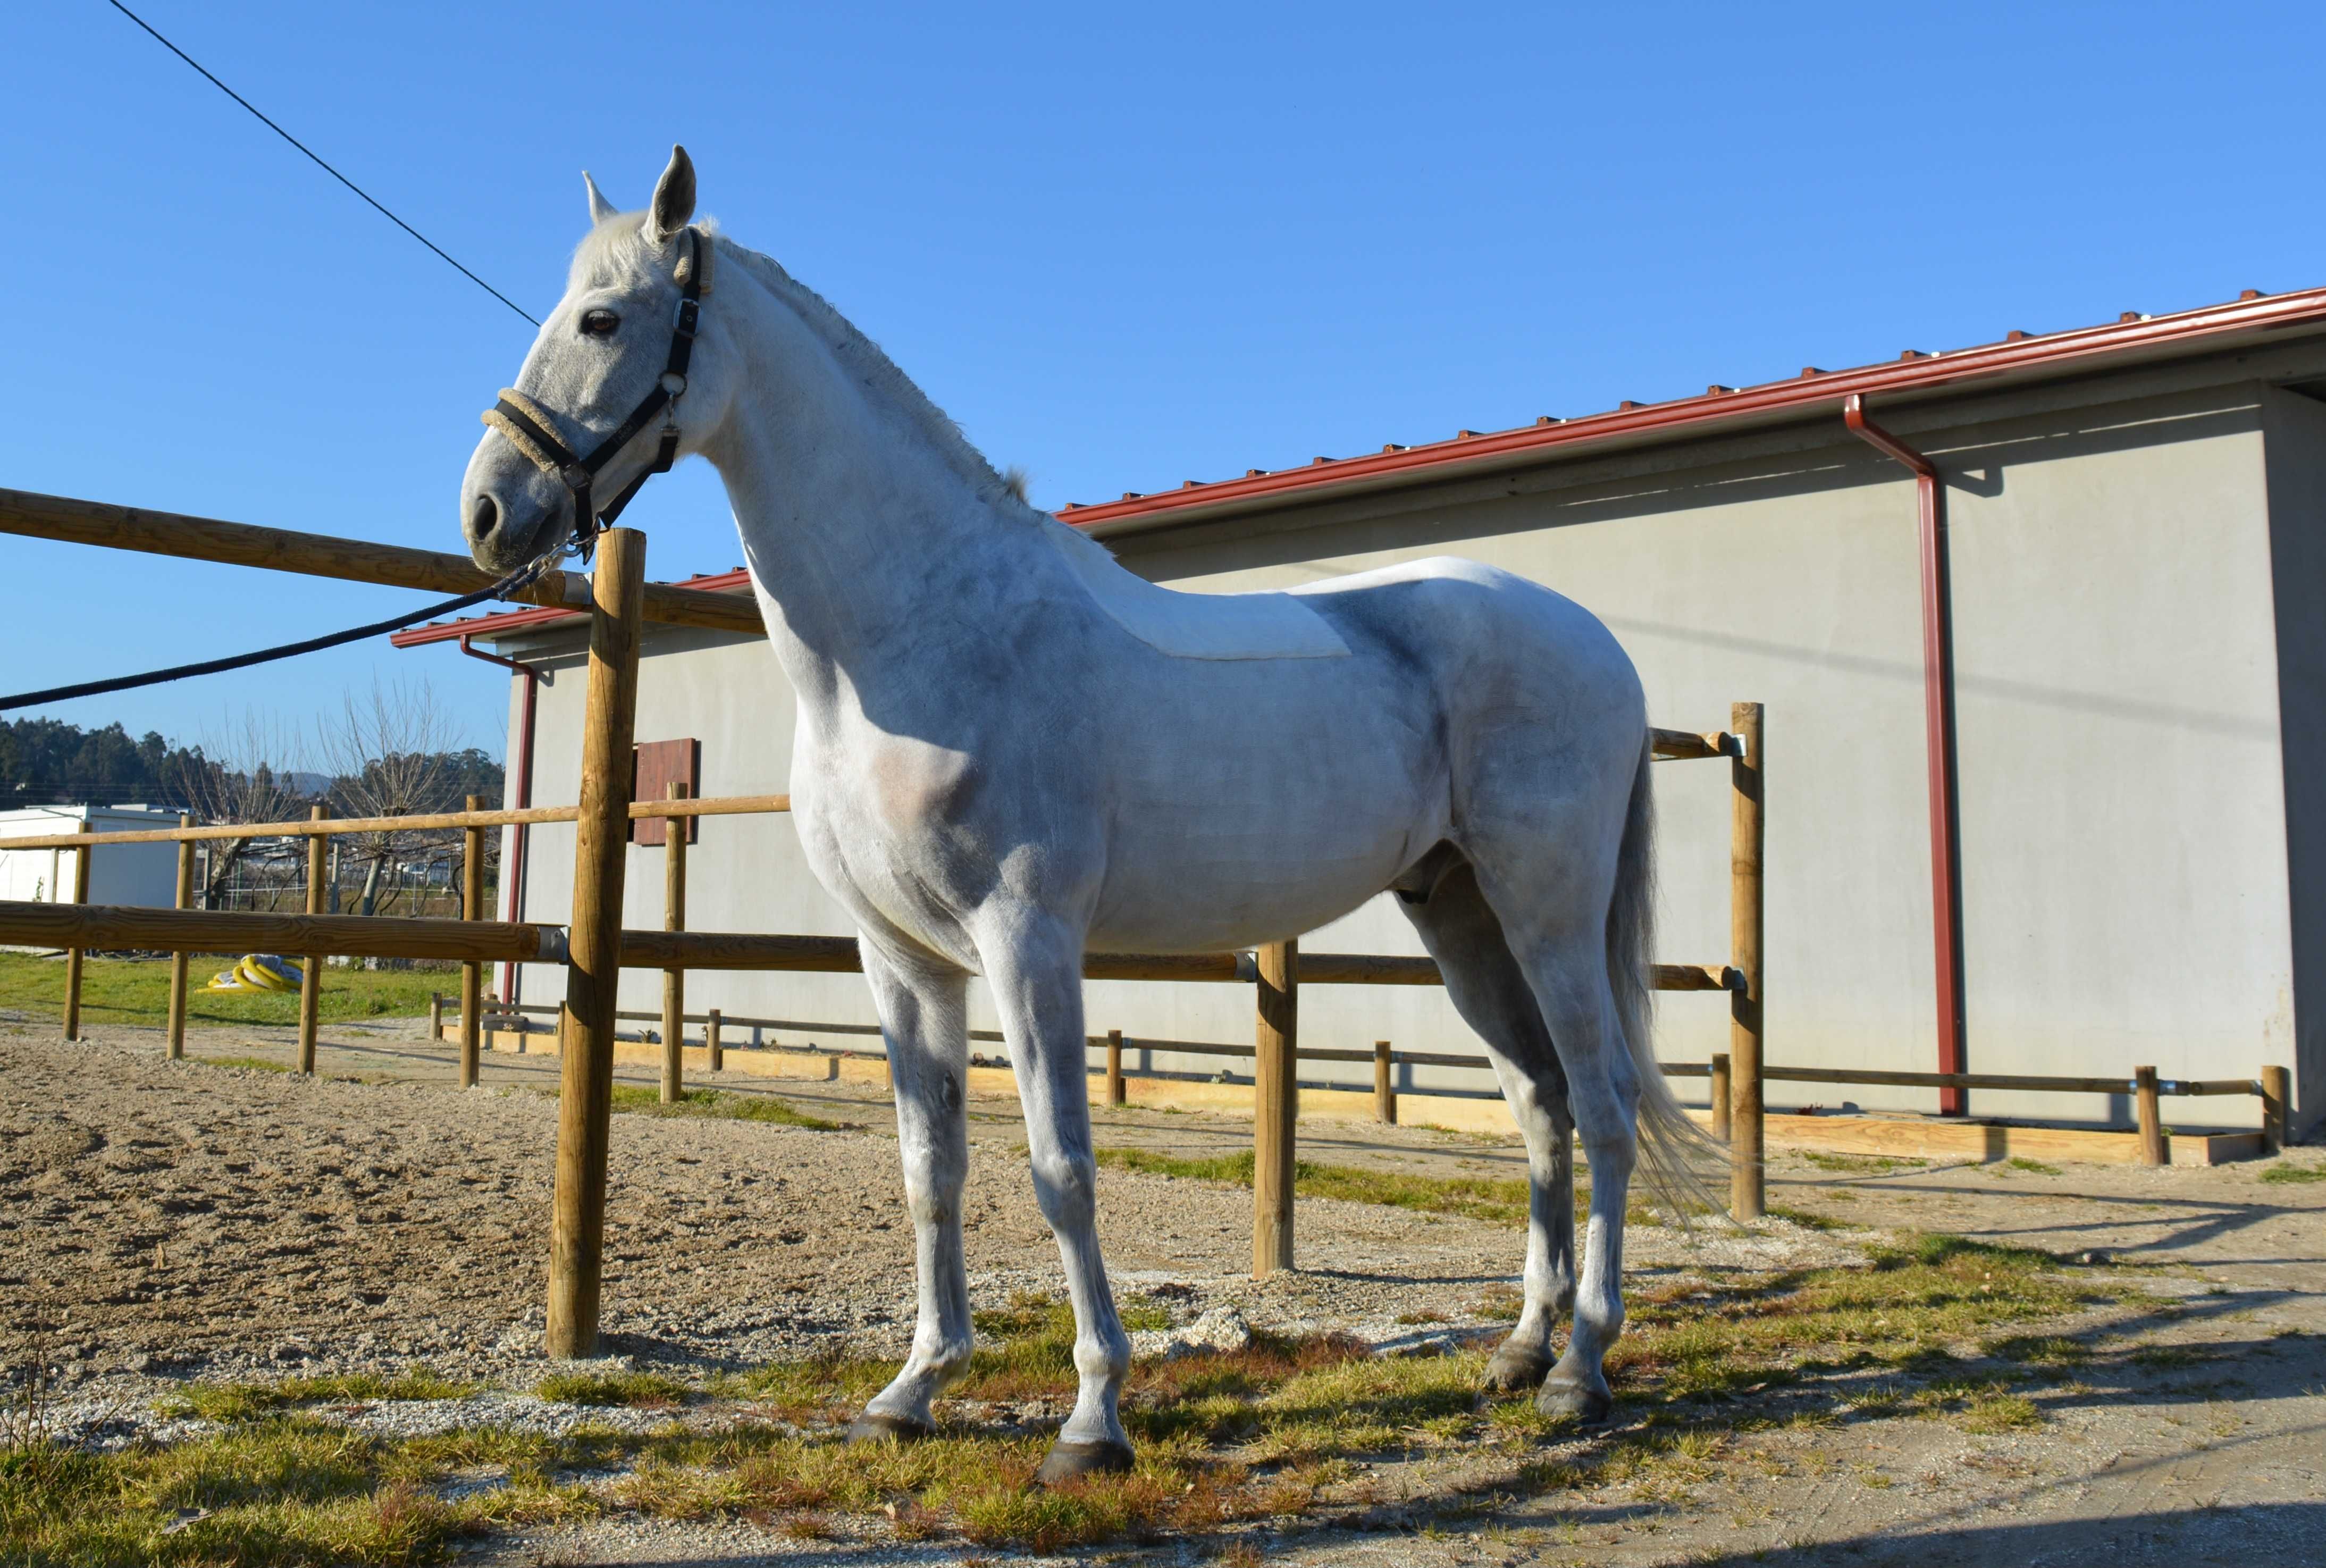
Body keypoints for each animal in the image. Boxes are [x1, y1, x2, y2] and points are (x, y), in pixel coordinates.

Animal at [463, 146, 1721, 1479]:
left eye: (604, 320)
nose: (488, 512)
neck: (921, 631)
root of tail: (1598, 648)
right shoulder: (900, 956)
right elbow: (930, 1165)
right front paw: (913, 1387)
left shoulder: (1028, 940)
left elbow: (1061, 1166)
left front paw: (1092, 1417)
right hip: (1459, 914)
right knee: (1539, 1102)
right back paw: (1522, 1349)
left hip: (1548, 908)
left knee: (1601, 1103)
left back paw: (1581, 1369)